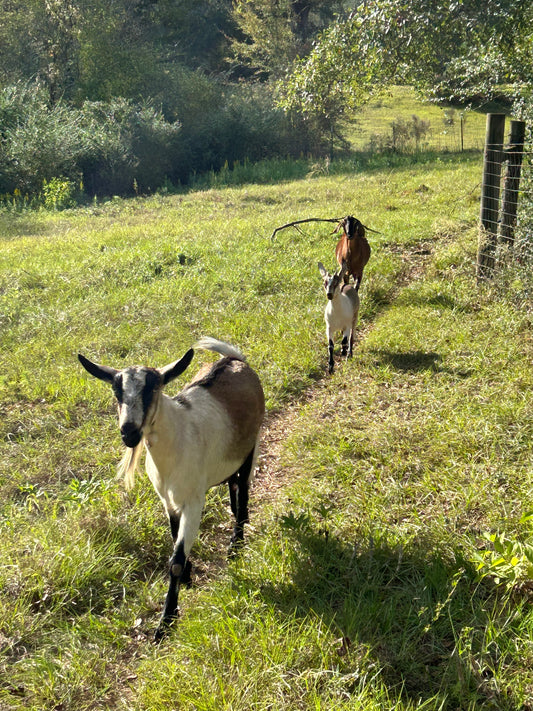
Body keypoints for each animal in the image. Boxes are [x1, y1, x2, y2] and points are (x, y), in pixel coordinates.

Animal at [78, 337, 265, 641]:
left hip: (252, 442)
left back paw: (236, 542)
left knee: (245, 482)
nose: (129, 432)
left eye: (152, 388)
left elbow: (175, 559)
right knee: (233, 481)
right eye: (117, 391)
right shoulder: (168, 500)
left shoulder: (193, 500)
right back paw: (239, 519)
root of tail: (235, 359)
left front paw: (166, 621)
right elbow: (175, 538)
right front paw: (188, 577)